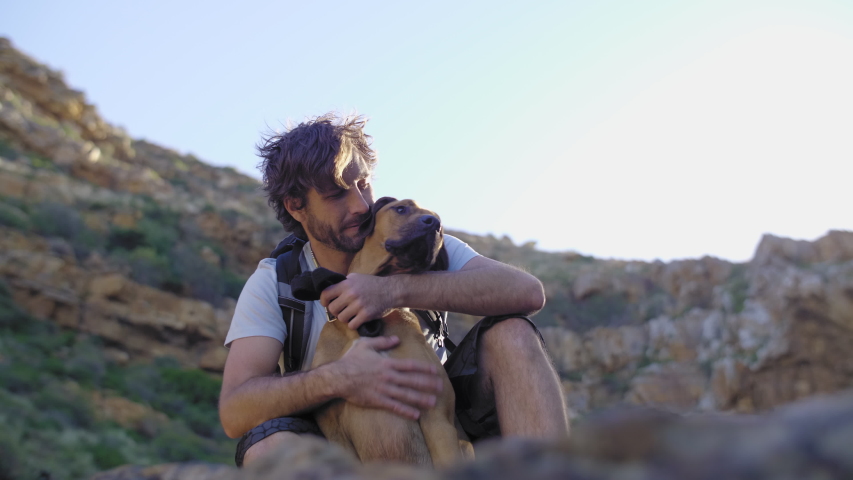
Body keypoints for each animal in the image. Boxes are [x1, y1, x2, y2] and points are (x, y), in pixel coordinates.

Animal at [310, 197, 476, 466]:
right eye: (401, 208)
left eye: (441, 229)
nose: (434, 224)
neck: (369, 324)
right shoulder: (333, 428)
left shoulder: (437, 417)